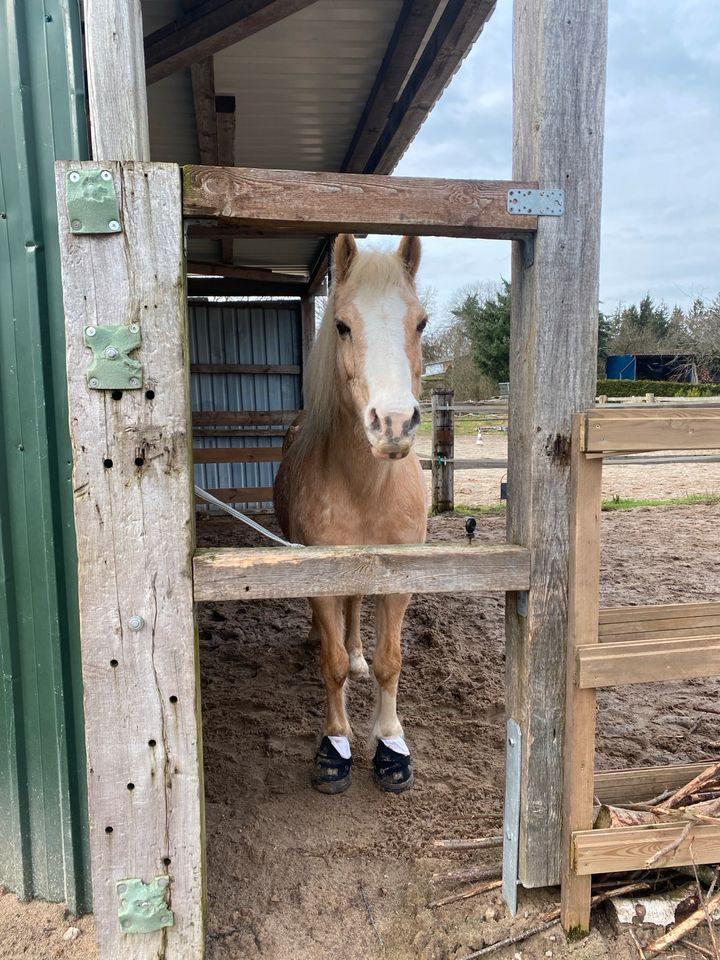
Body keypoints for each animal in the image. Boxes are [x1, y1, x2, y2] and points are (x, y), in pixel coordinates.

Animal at [272, 234, 428, 796]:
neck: (366, 488)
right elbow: (332, 665)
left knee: (356, 609)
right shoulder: (321, 576)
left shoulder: (399, 577)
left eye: (420, 322)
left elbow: (390, 662)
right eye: (342, 325)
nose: (394, 424)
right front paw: (336, 745)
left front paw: (389, 743)